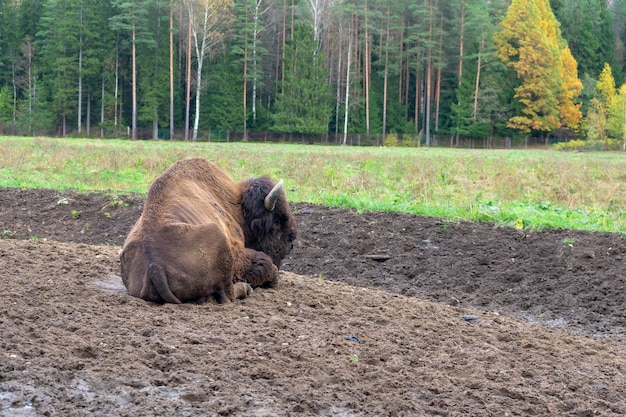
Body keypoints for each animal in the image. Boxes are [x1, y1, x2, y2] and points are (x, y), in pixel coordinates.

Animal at [122, 156, 300, 302]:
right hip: (218, 238)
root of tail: (155, 266)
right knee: (228, 295)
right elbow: (266, 263)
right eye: (278, 220)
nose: (291, 242)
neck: (238, 204)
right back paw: (246, 288)